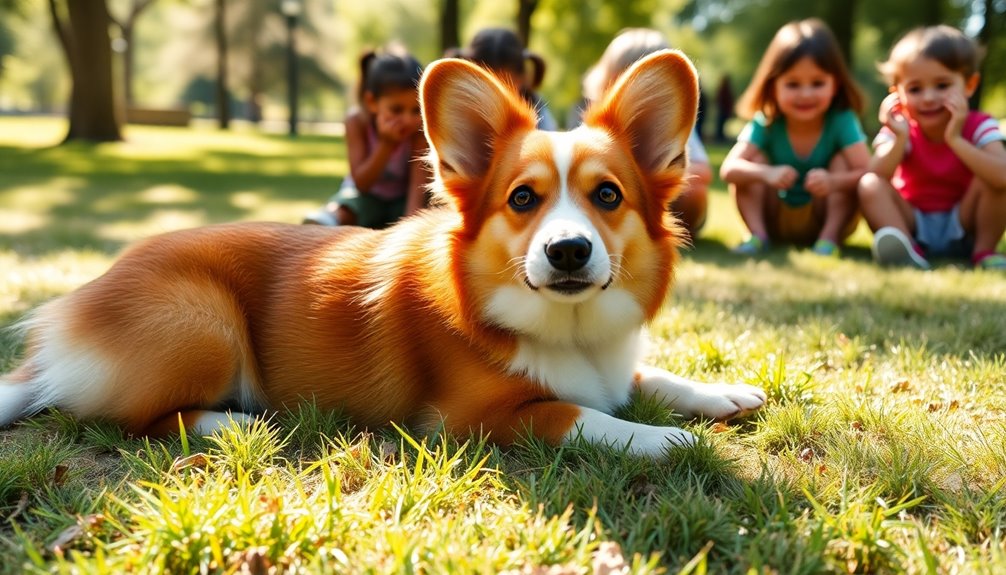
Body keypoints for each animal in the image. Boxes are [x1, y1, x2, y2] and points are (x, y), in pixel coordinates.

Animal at [0, 52, 764, 458]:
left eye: (608, 195)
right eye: (522, 199)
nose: (570, 251)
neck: (566, 327)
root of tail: (62, 327)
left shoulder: (610, 365)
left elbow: (647, 375)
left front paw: (720, 394)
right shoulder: (475, 419)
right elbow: (584, 416)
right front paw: (672, 441)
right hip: (201, 321)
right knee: (123, 418)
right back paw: (232, 420)